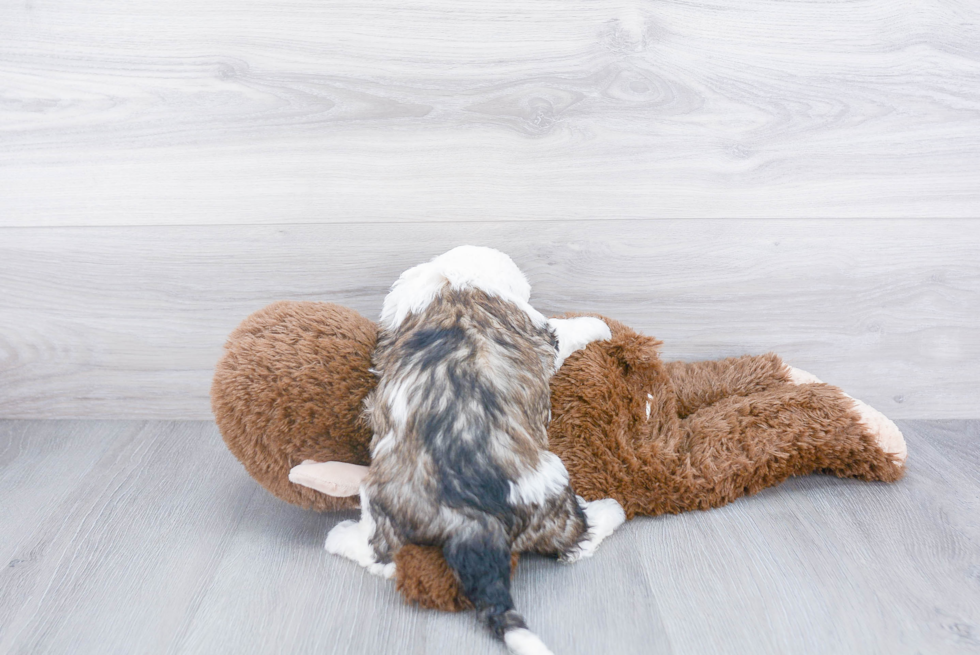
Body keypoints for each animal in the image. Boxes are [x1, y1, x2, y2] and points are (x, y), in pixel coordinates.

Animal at [326, 247, 624, 655]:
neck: (457, 284)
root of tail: (473, 519)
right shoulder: (541, 332)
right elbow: (568, 330)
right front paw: (600, 326)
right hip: (553, 496)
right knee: (577, 541)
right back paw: (611, 511)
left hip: (389, 500)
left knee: (384, 557)